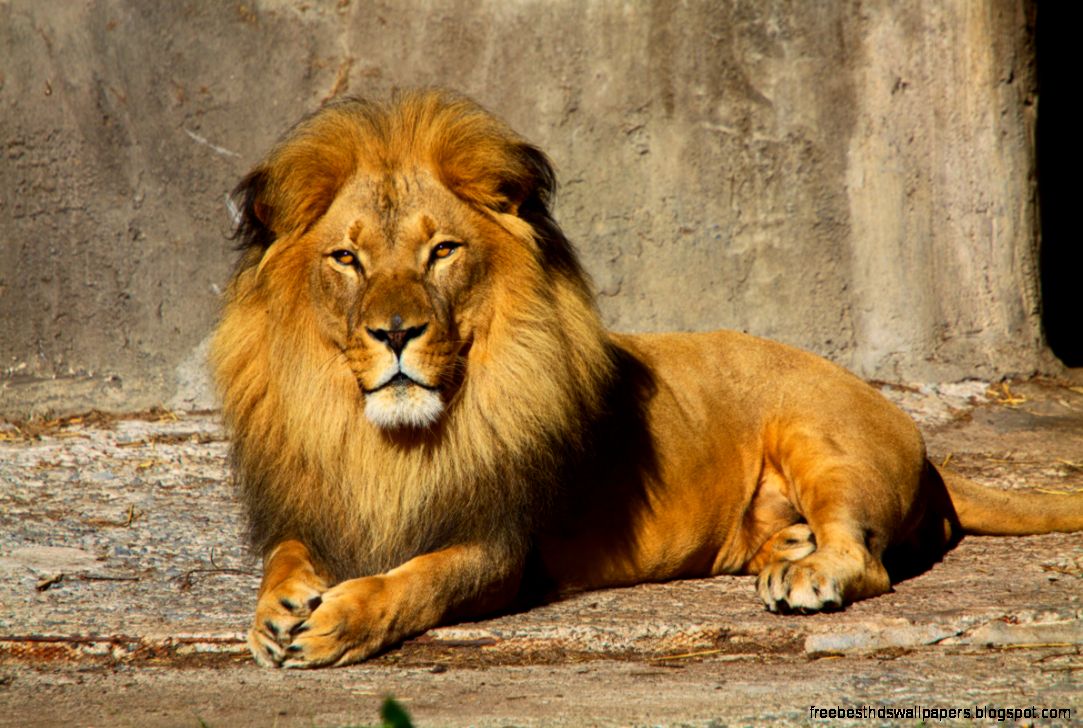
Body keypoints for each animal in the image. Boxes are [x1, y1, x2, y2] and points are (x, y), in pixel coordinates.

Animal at [211, 89, 1083, 669]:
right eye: (347, 258)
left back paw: (804, 572)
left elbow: (415, 582)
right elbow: (285, 556)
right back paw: (784, 546)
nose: (394, 333)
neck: (384, 440)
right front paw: (275, 615)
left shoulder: (498, 549)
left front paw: (337, 622)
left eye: (441, 251)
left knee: (864, 554)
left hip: (817, 430)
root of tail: (917, 438)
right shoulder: (325, 507)